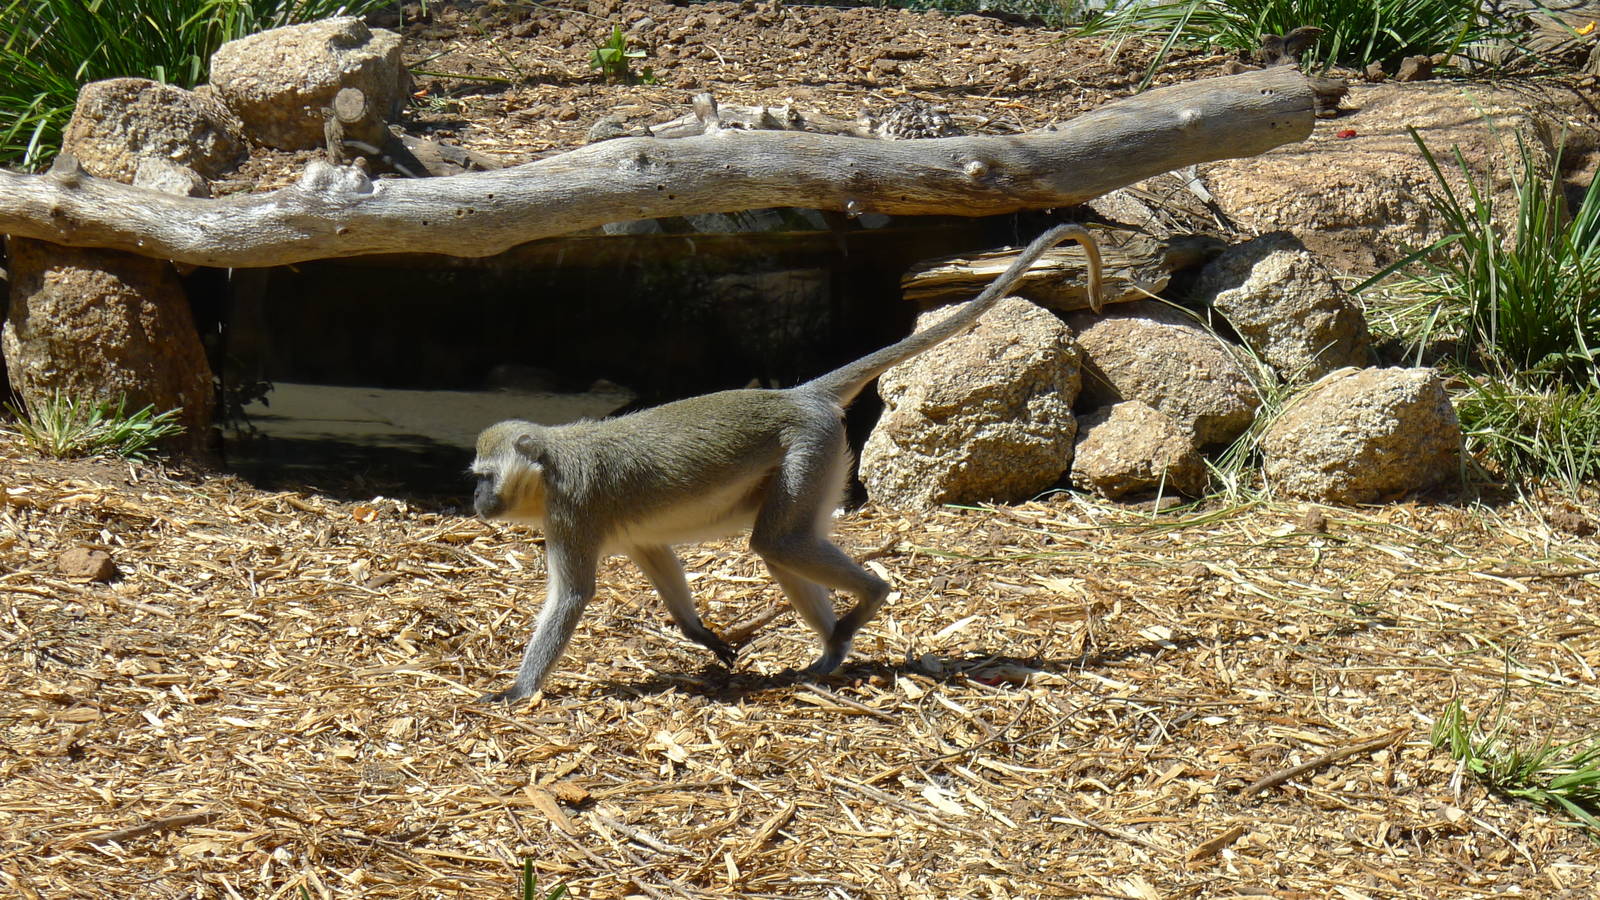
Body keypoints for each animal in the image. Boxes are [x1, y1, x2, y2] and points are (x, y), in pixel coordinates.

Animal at [470, 223, 1104, 703]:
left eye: (483, 478)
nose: (475, 503)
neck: (551, 465)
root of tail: (797, 396)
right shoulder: (627, 533)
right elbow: (657, 556)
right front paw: (700, 633)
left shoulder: (572, 514)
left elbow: (572, 597)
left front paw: (518, 691)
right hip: (822, 460)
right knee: (783, 543)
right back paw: (833, 651)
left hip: (809, 447)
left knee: (778, 542)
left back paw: (871, 596)